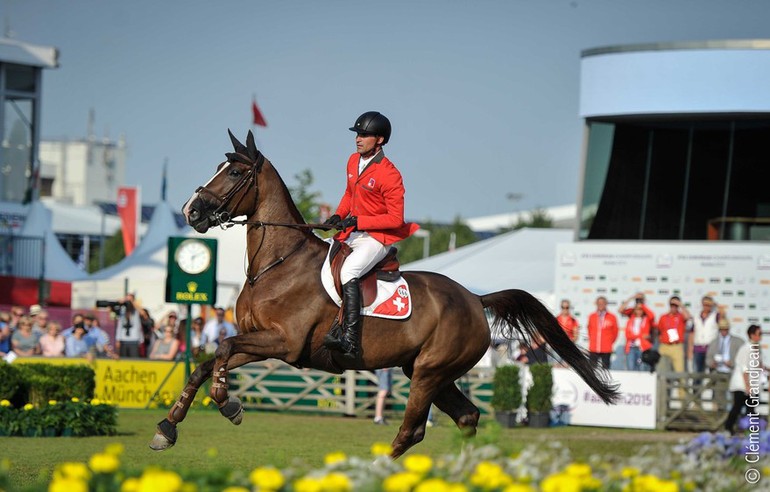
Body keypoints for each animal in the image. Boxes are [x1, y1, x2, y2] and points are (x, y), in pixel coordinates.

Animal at [152, 130, 616, 458]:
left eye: (233, 172)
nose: (191, 210)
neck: (277, 263)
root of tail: (474, 299)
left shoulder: (283, 343)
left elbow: (223, 348)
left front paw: (226, 404)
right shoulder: (262, 342)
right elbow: (209, 361)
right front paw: (168, 428)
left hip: (428, 373)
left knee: (412, 429)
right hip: (428, 371)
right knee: (467, 416)